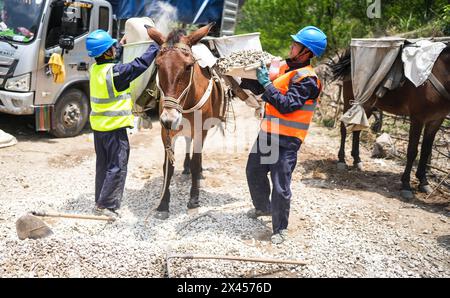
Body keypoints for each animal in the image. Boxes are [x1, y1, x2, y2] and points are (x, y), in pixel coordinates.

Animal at [148, 23, 225, 219]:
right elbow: (168, 166)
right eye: (157, 65)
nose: (170, 119)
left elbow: (197, 161)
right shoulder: (166, 131)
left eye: (189, 66)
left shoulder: (200, 129)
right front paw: (163, 204)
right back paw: (186, 167)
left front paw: (194, 199)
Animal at [330, 45, 450, 199]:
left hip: (366, 105)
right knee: (344, 127)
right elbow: (412, 151)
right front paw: (406, 185)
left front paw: (424, 183)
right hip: (350, 100)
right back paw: (341, 160)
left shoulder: (435, 120)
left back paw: (357, 161)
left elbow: (426, 151)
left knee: (357, 129)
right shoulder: (417, 118)